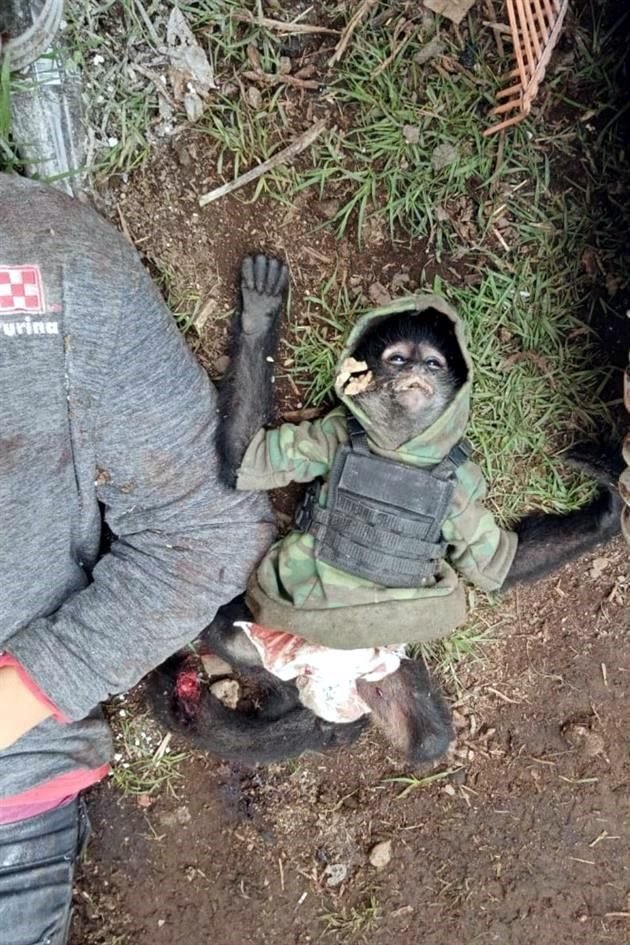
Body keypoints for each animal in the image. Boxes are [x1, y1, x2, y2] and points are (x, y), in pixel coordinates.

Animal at [147, 253, 624, 768]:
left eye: (433, 362)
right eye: (398, 357)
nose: (416, 370)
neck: (399, 454)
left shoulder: (461, 490)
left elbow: (495, 562)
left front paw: (607, 507)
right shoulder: (328, 433)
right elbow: (244, 458)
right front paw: (260, 316)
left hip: (383, 670)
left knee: (428, 737)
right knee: (228, 633)